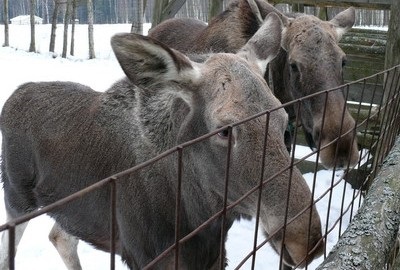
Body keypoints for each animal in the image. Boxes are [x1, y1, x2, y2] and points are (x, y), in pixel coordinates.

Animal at [0, 13, 324, 268]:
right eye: (224, 130)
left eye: (283, 120)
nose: (304, 239)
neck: (197, 213)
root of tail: (12, 98)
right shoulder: (145, 255)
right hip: (16, 199)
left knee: (61, 236)